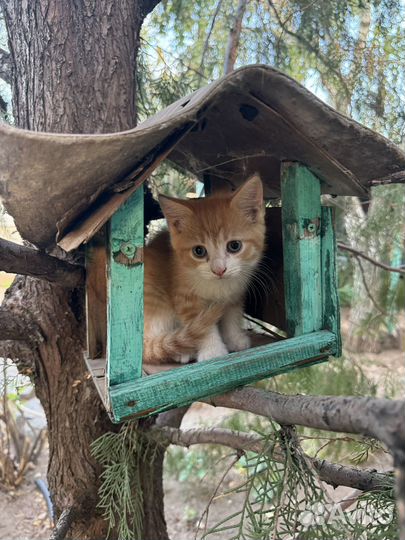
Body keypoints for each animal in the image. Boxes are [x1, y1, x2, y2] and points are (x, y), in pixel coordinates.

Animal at [143, 175, 266, 364]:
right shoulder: (186, 298)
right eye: (199, 251)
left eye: (234, 246)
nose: (219, 270)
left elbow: (231, 315)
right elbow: (203, 327)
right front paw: (213, 351)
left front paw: (234, 339)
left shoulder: (235, 293)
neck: (218, 286)